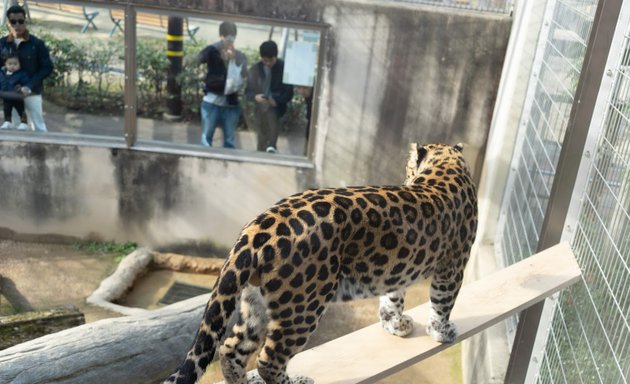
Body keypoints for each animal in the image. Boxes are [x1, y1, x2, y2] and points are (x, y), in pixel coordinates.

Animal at [165, 143, 482, 384]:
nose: (404, 177)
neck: (447, 165)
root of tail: (257, 228)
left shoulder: (398, 270)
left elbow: (393, 298)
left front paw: (395, 324)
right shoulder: (453, 266)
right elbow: (443, 302)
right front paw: (441, 332)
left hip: (254, 301)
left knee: (231, 348)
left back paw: (246, 380)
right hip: (303, 307)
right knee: (268, 359)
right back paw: (295, 382)